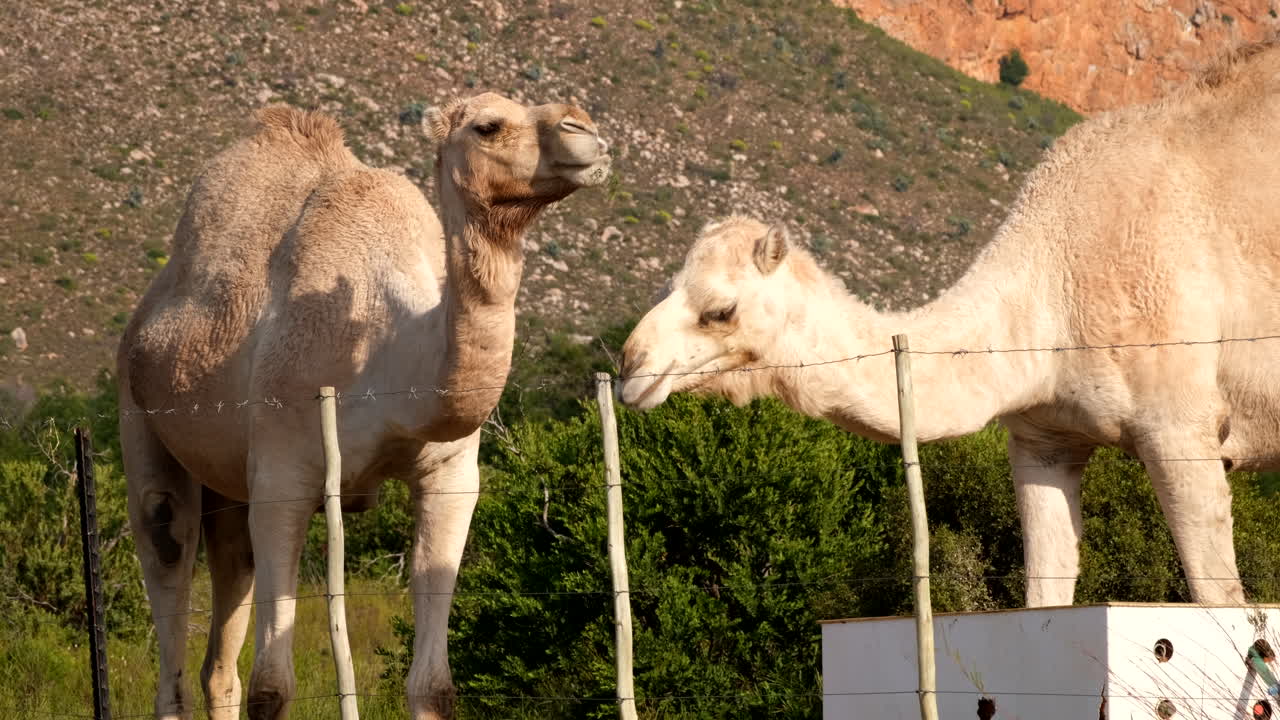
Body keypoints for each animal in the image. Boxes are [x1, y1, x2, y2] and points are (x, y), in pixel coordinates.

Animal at [117, 92, 609, 720]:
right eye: (488, 125)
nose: (587, 133)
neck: (388, 349)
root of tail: (140, 322)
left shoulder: (449, 477)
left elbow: (434, 685)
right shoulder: (283, 475)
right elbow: (272, 689)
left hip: (226, 485)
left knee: (225, 613)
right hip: (136, 411)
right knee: (167, 553)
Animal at [618, 42, 1280, 609]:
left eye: (720, 311)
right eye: (668, 284)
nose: (630, 365)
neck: (1054, 286)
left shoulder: (1181, 423)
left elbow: (1219, 601)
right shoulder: (1045, 438)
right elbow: (1044, 596)